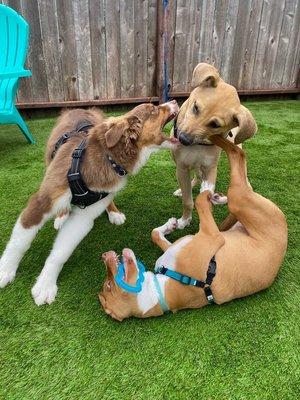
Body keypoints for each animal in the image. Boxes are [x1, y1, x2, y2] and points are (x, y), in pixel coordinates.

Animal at [0, 101, 178, 304]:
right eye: (153, 109)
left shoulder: (83, 218)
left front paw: (45, 284)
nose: (174, 102)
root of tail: (80, 108)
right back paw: (61, 216)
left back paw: (114, 213)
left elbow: (60, 254)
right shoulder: (41, 202)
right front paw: (5, 270)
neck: (108, 157)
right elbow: (19, 243)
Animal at [99, 137, 288, 322]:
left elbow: (155, 233)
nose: (105, 255)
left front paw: (170, 225)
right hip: (240, 199)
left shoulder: (179, 245)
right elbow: (198, 201)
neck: (161, 291)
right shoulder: (212, 236)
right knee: (237, 155)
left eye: (108, 285)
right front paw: (190, 208)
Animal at [170, 62, 256, 228]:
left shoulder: (211, 167)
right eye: (196, 107)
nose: (183, 139)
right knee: (195, 176)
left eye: (215, 125)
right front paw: (184, 220)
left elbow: (207, 189)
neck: (199, 144)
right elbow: (187, 201)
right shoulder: (182, 167)